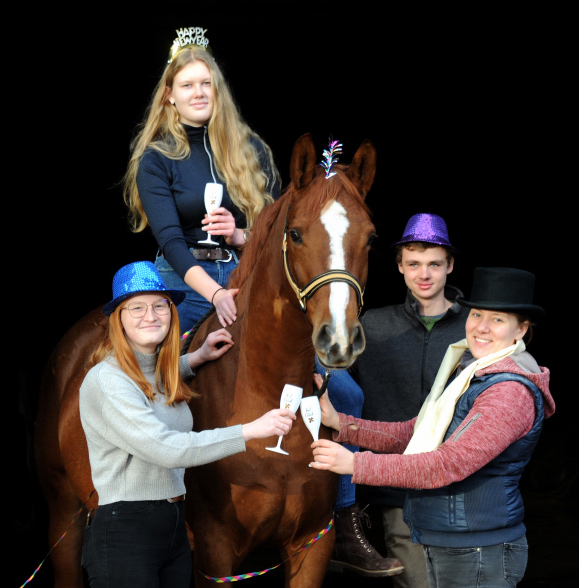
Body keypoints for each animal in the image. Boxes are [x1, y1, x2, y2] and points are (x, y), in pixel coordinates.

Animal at [35, 134, 376, 588]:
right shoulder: (214, 552)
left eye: (370, 238)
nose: (339, 339)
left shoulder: (311, 544)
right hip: (63, 512)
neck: (264, 387)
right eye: (297, 234)